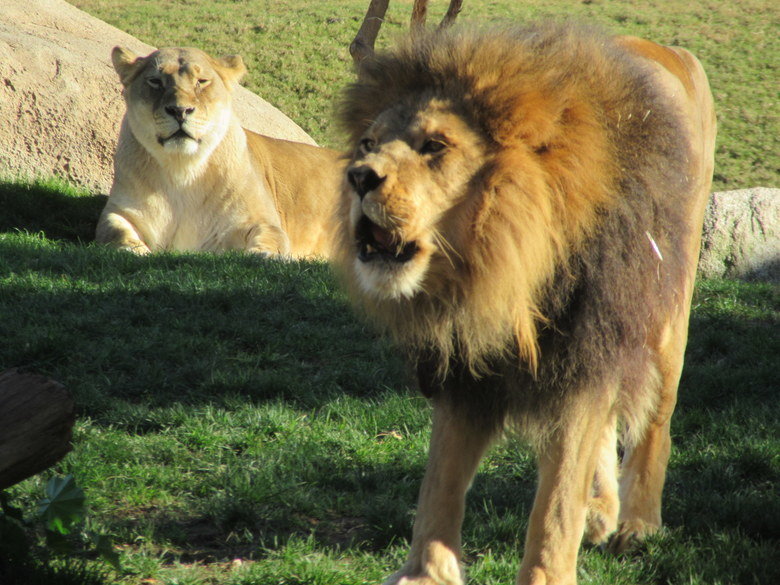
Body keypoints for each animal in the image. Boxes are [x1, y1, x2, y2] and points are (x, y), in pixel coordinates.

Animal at [96, 45, 342, 256]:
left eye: (202, 81)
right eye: (155, 81)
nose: (180, 110)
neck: (182, 169)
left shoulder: (259, 221)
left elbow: (271, 238)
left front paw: (263, 255)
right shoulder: (119, 211)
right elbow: (114, 231)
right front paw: (134, 249)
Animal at [336, 22, 712, 584]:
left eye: (434, 146)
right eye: (367, 143)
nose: (359, 177)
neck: (498, 269)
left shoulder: (585, 352)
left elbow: (556, 502)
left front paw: (548, 572)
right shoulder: (465, 365)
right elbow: (440, 480)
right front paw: (425, 573)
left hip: (663, 315)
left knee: (655, 421)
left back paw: (638, 524)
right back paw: (601, 511)